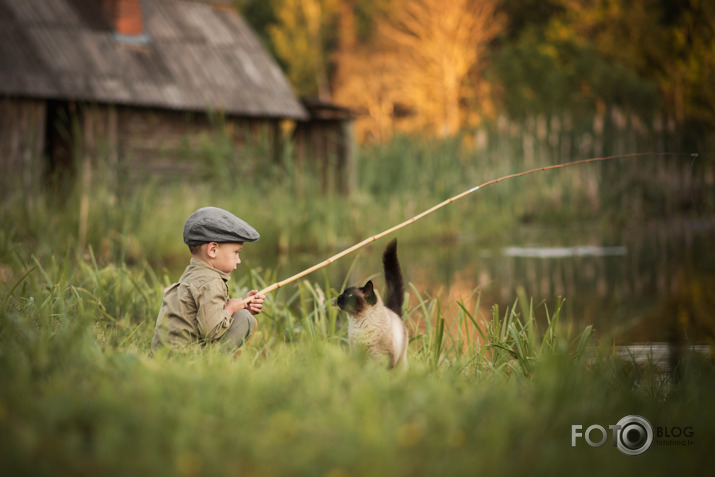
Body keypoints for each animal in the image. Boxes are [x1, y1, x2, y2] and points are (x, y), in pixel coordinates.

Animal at [336, 238, 408, 368]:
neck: (359, 324)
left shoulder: (386, 359)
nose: (338, 298)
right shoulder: (357, 355)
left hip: (399, 362)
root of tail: (392, 311)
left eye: (349, 296)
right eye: (342, 294)